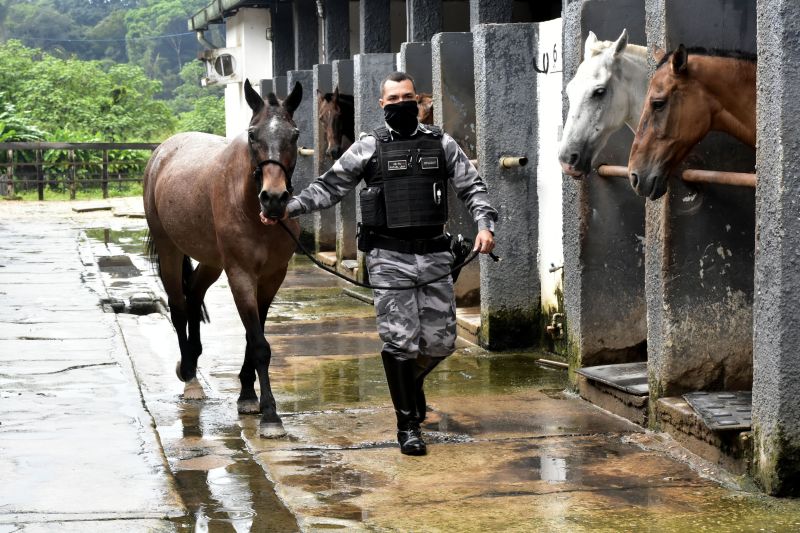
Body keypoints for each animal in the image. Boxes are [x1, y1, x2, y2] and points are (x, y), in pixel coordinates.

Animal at [144, 78, 304, 436]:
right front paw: (270, 415)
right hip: (170, 249)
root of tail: (162, 152)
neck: (248, 204)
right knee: (178, 307)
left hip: (212, 262)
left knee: (193, 295)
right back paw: (190, 379)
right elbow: (258, 343)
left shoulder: (273, 276)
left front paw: (247, 396)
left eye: (295, 134)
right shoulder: (240, 274)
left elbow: (253, 335)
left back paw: (192, 359)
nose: (274, 198)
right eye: (253, 134)